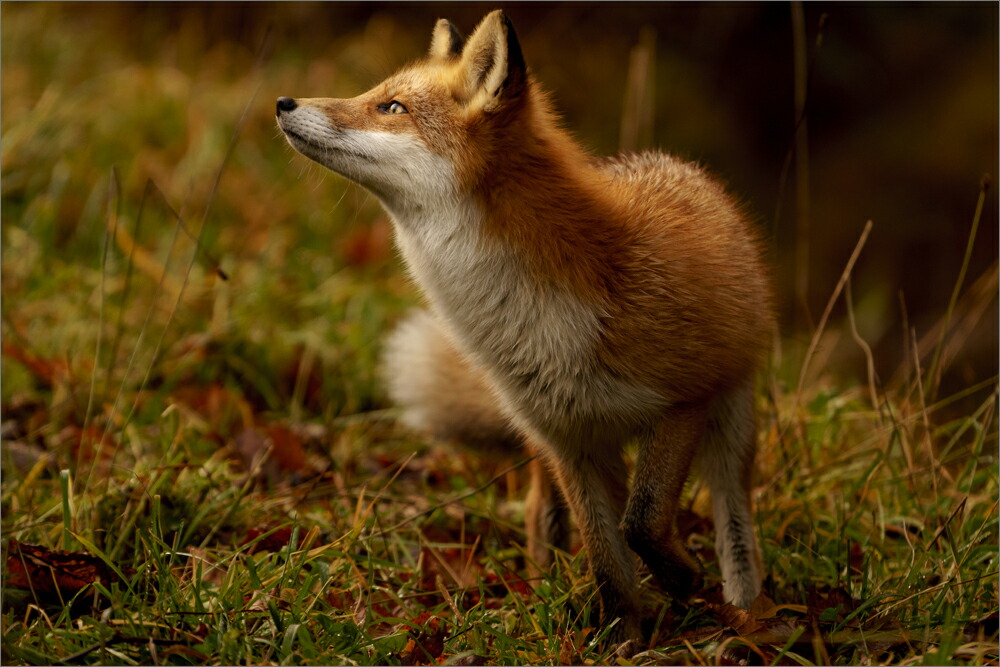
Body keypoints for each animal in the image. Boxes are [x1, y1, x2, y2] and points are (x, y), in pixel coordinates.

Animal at [278, 9, 776, 656]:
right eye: (377, 95)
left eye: (392, 107)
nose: (283, 102)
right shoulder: (566, 439)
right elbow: (609, 565)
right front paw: (622, 644)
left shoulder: (684, 401)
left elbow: (641, 522)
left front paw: (680, 581)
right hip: (551, 447)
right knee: (545, 514)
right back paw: (547, 582)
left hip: (730, 419)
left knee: (733, 518)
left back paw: (747, 612)